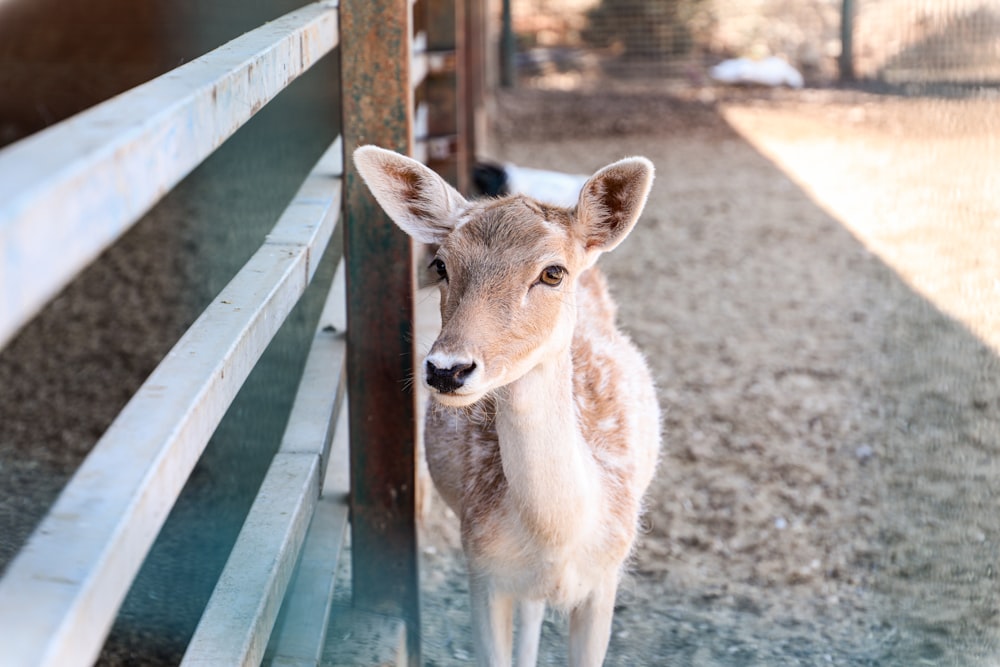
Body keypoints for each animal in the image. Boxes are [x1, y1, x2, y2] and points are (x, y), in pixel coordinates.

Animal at [354, 147, 664, 667]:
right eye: (440, 265)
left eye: (553, 272)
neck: (558, 537)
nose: (447, 369)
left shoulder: (606, 577)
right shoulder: (481, 564)